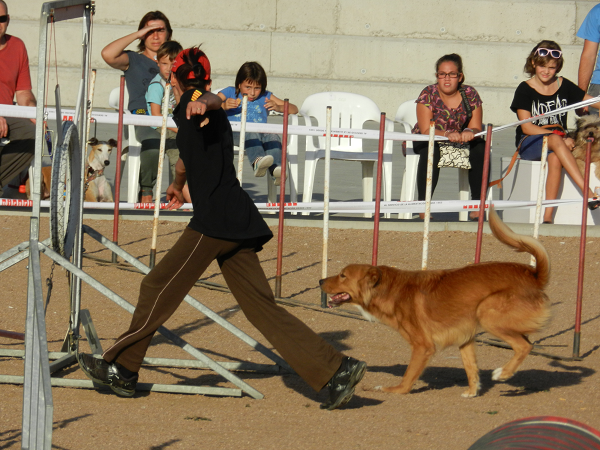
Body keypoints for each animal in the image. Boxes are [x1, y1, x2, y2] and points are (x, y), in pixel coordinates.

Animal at [320, 208, 551, 398]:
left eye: (342, 275)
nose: (320, 281)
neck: (391, 290)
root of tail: (533, 275)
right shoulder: (465, 338)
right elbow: (471, 368)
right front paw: (472, 391)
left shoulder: (423, 346)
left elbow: (408, 376)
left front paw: (394, 390)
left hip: (488, 313)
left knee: (525, 346)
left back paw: (504, 373)